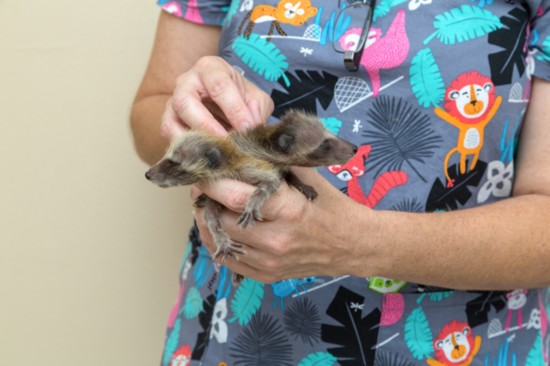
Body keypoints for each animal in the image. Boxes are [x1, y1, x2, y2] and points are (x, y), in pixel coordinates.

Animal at [147, 109, 358, 278]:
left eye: (172, 163)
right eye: (326, 143)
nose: (148, 174)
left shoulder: (249, 165)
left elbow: (272, 180)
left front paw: (258, 199)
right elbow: (210, 216)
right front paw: (221, 237)